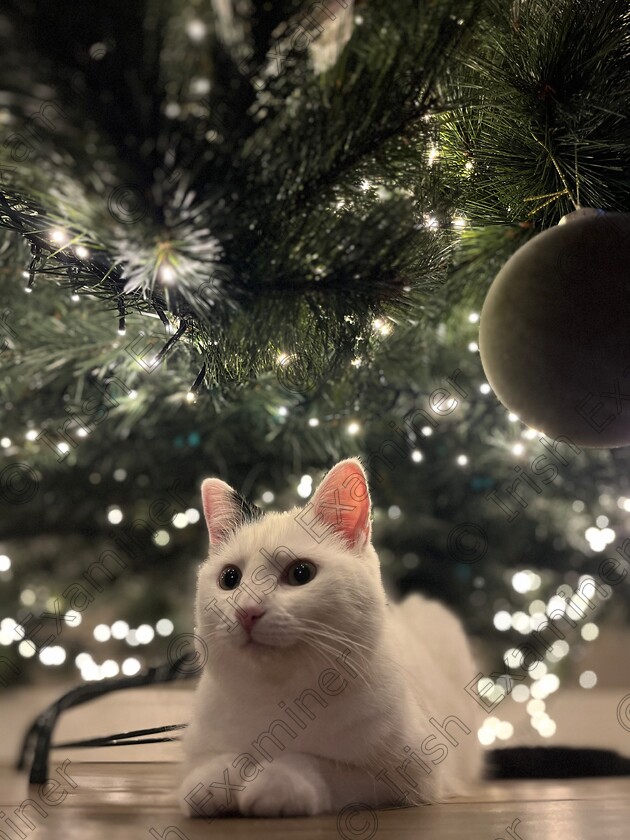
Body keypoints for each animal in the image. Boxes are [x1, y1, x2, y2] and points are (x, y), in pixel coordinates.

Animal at [178, 456, 484, 816]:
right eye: (229, 578)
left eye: (301, 573)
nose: (247, 611)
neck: (279, 695)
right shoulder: (201, 745)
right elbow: (219, 760)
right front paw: (212, 779)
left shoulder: (412, 774)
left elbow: (321, 764)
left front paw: (278, 780)